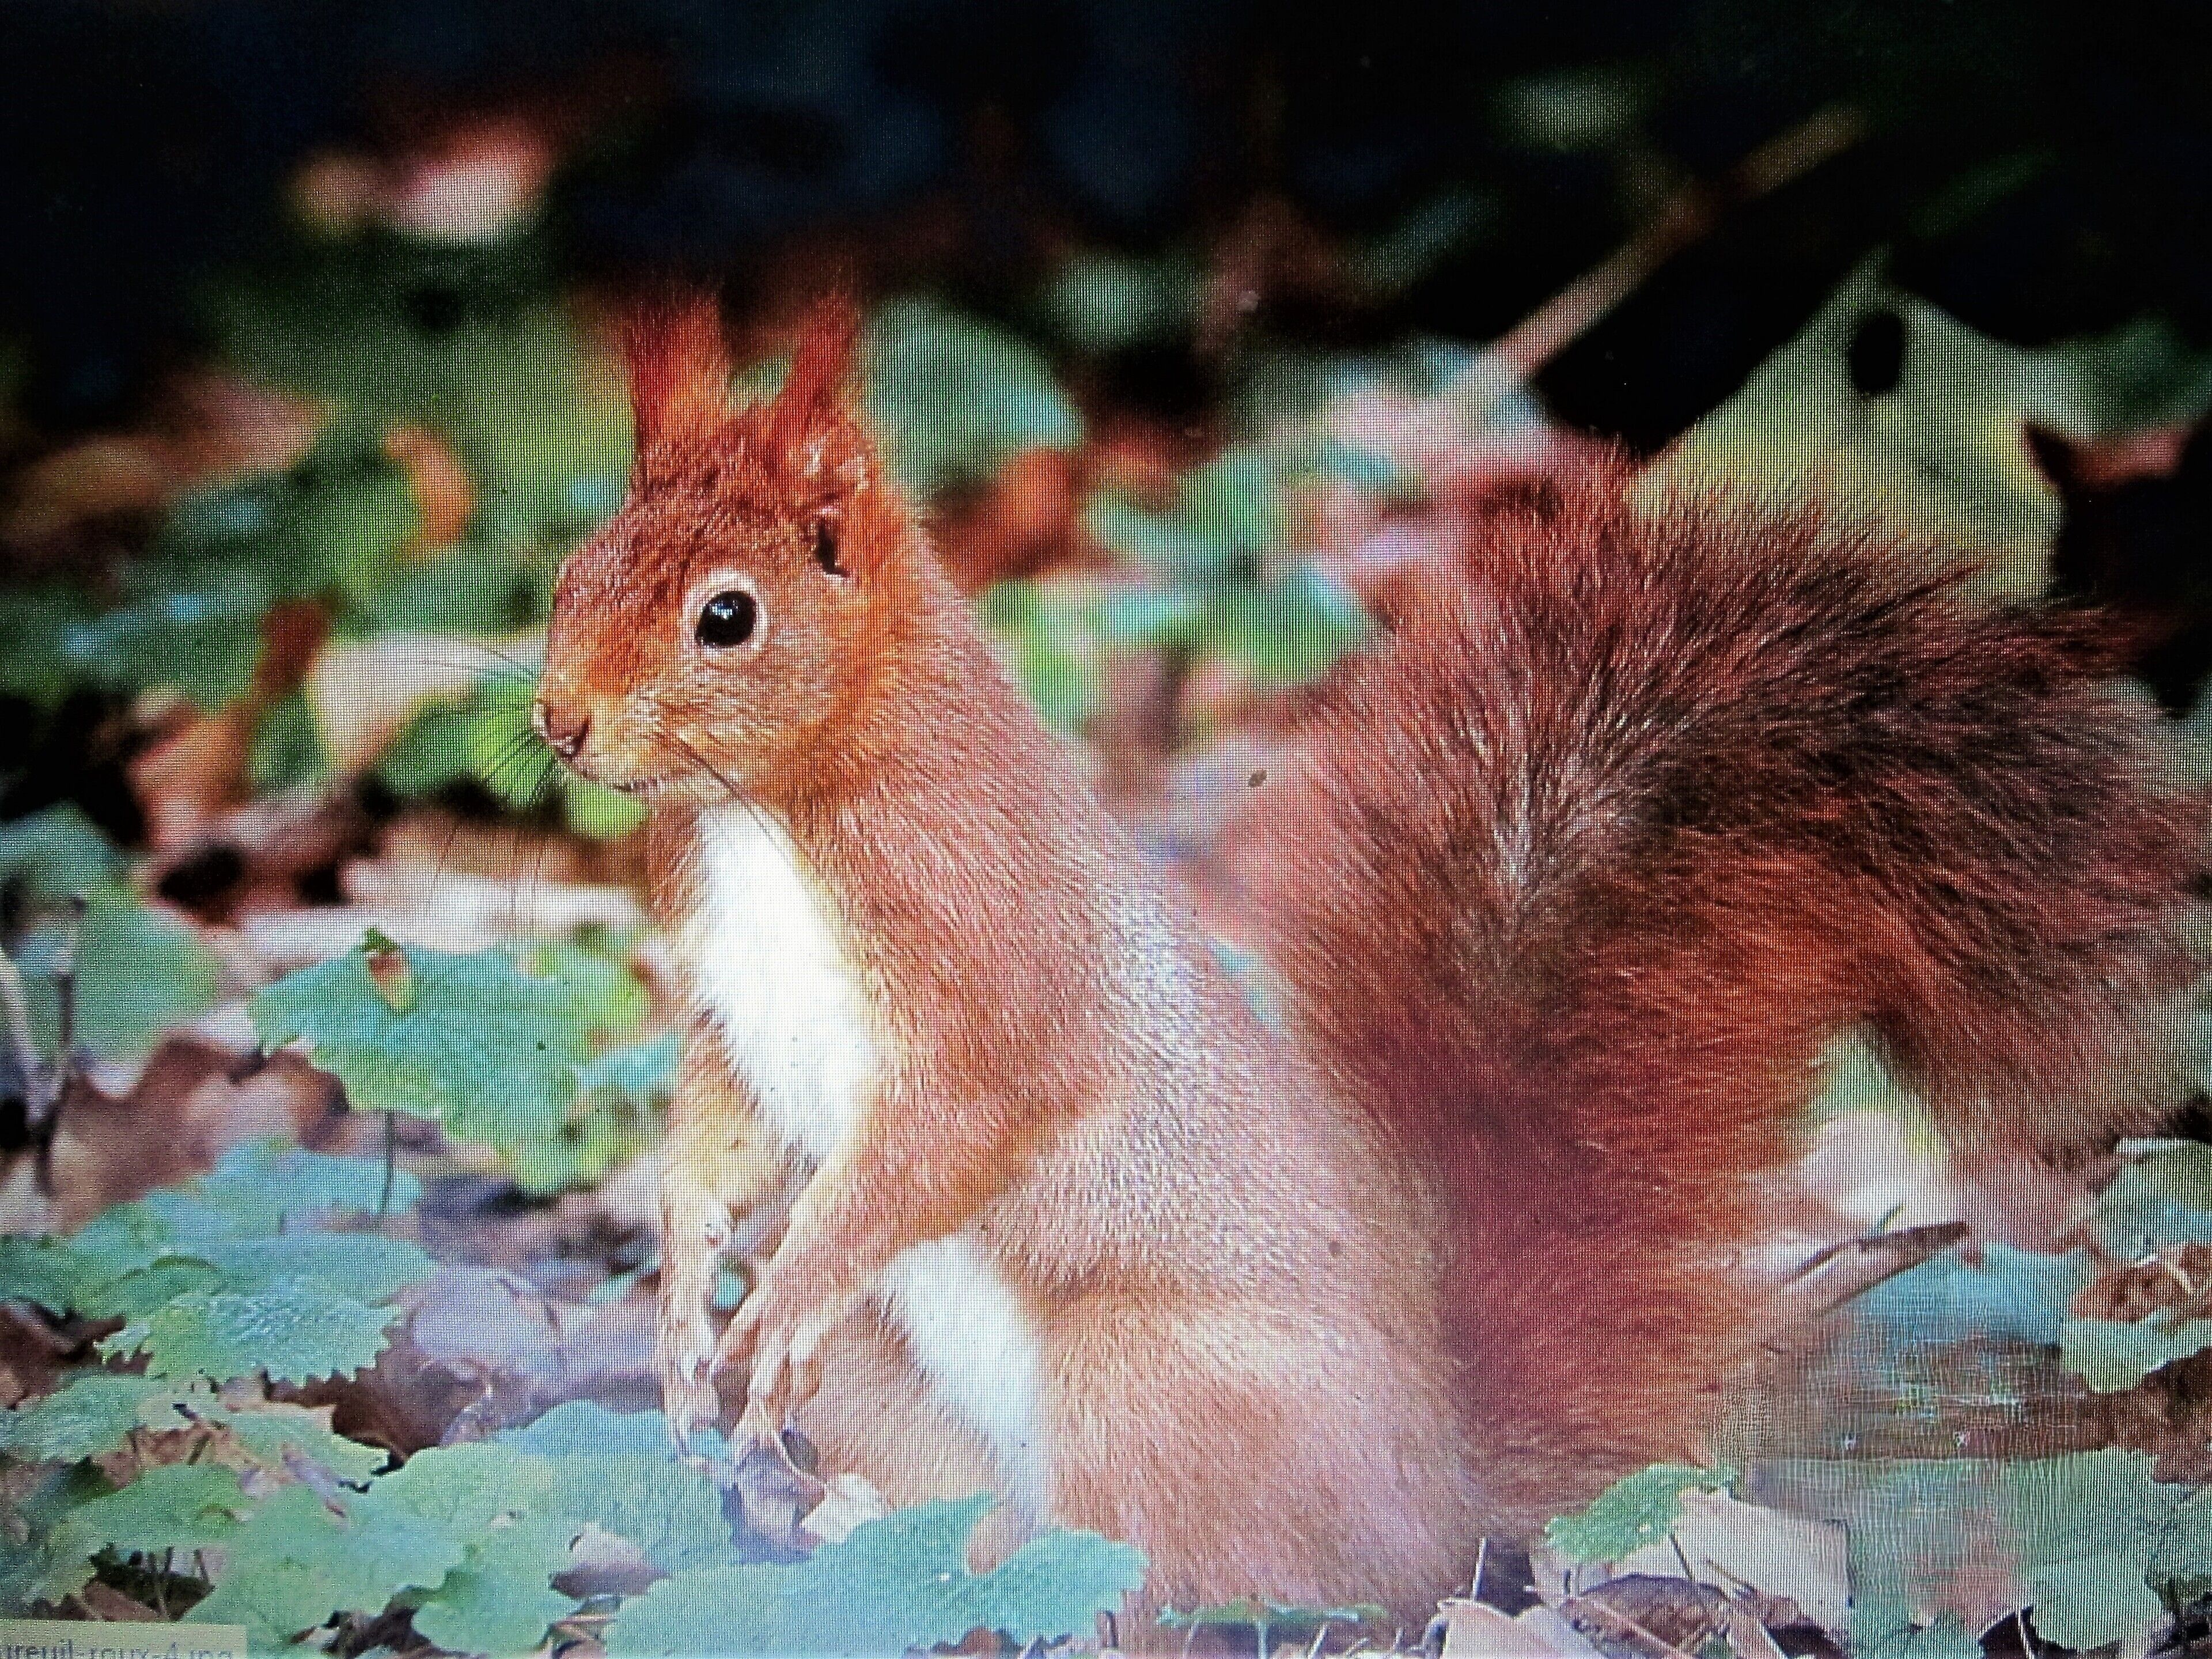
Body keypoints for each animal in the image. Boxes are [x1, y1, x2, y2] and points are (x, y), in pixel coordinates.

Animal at [534, 291, 2209, 1622]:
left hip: (1147, 1383)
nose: (555, 721)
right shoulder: (738, 1013)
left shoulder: (992, 977)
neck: (772, 814)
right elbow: (716, 1146)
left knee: (1190, 1588)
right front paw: (683, 1311)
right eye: (571, 572)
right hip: (913, 1397)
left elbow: (937, 1140)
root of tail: (1448, 1494)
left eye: (728, 617)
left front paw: (775, 1299)